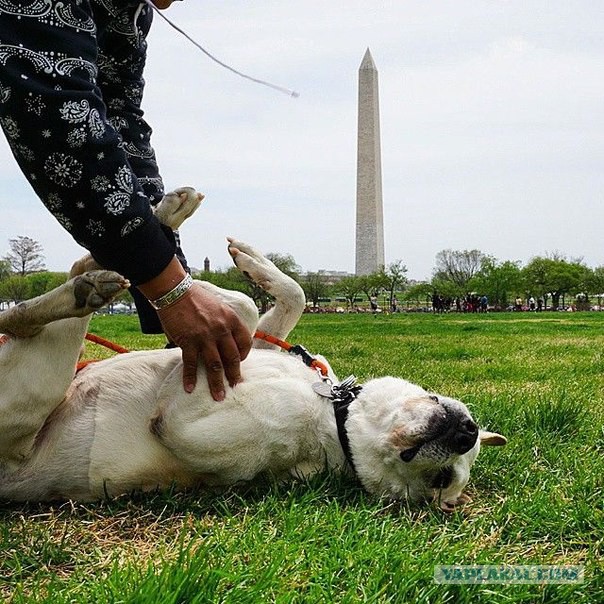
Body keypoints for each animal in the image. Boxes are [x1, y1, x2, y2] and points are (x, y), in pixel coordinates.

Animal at [0, 188, 504, 510]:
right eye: (438, 398)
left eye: (442, 480)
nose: (466, 431)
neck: (334, 411)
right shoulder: (261, 346)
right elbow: (287, 296)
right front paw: (249, 266)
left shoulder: (183, 420)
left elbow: (238, 309)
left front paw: (192, 300)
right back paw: (153, 223)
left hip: (33, 387)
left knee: (31, 318)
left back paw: (86, 288)